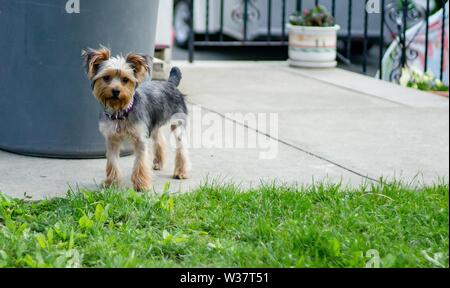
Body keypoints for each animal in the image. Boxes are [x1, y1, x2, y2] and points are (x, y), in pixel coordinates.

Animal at [81, 46, 191, 191]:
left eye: (125, 79)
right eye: (106, 77)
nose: (116, 91)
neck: (120, 112)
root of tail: (170, 84)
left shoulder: (140, 139)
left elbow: (140, 162)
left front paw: (141, 185)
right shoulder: (112, 139)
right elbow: (112, 161)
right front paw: (111, 182)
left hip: (177, 124)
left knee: (182, 149)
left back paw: (181, 172)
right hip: (154, 124)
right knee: (159, 141)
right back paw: (158, 163)